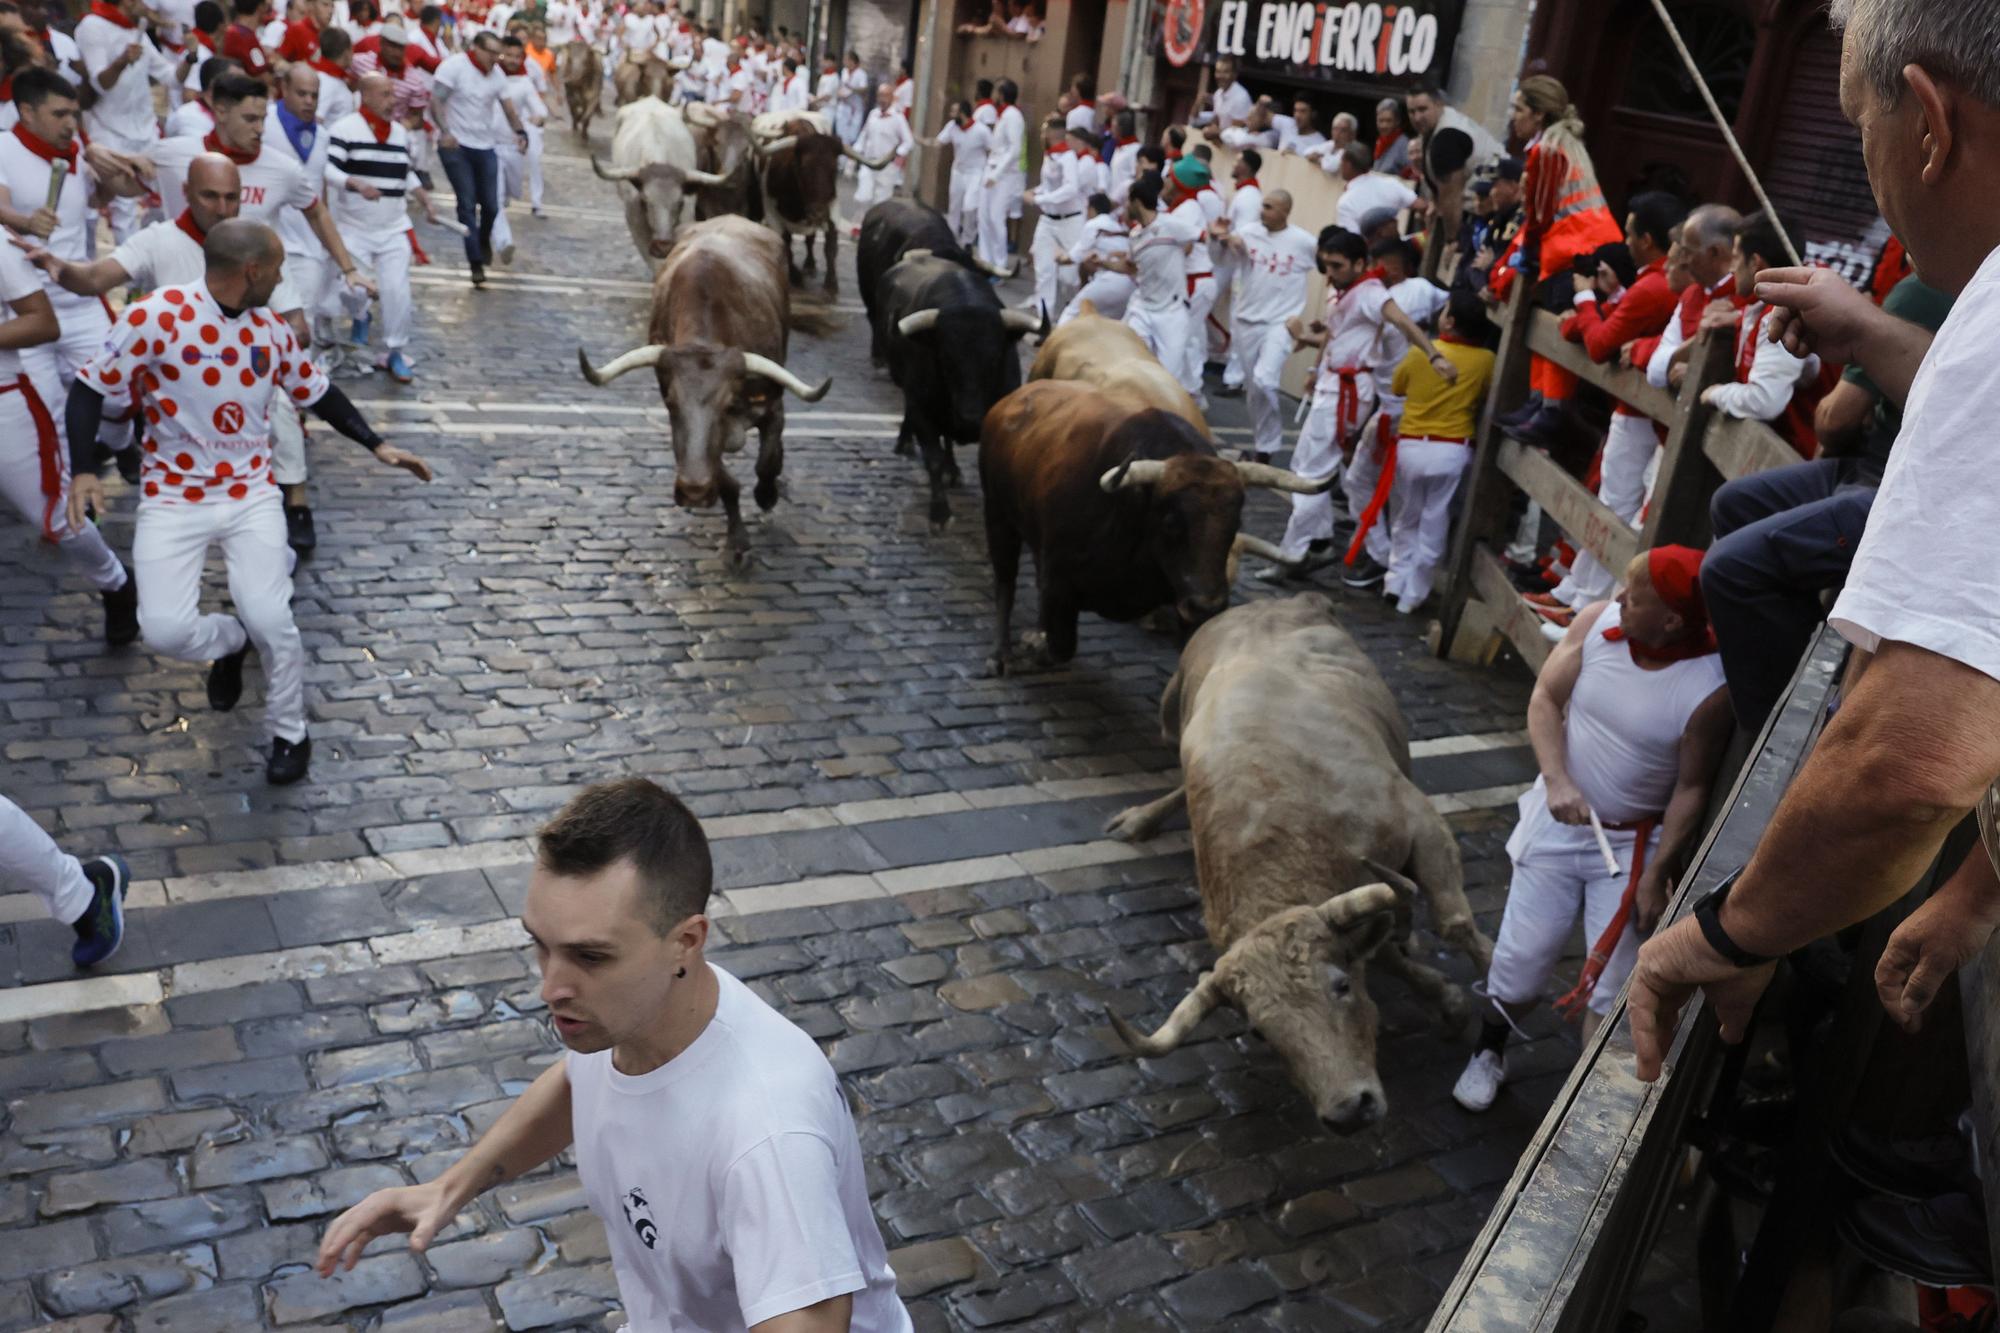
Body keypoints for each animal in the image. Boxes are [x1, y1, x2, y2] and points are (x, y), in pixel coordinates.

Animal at [576, 214, 832, 564]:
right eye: (670, 403)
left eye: (727, 404)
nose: (692, 491)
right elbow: (726, 482)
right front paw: (737, 539)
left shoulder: (773, 406)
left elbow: (766, 462)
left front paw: (766, 495)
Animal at [972, 382, 1328, 676]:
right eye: (1171, 522)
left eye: (1236, 522)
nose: (1207, 606)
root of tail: (1011, 401)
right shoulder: (1060, 581)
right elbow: (1060, 647)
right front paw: (1034, 645)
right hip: (998, 516)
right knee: (1005, 582)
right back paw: (1001, 654)